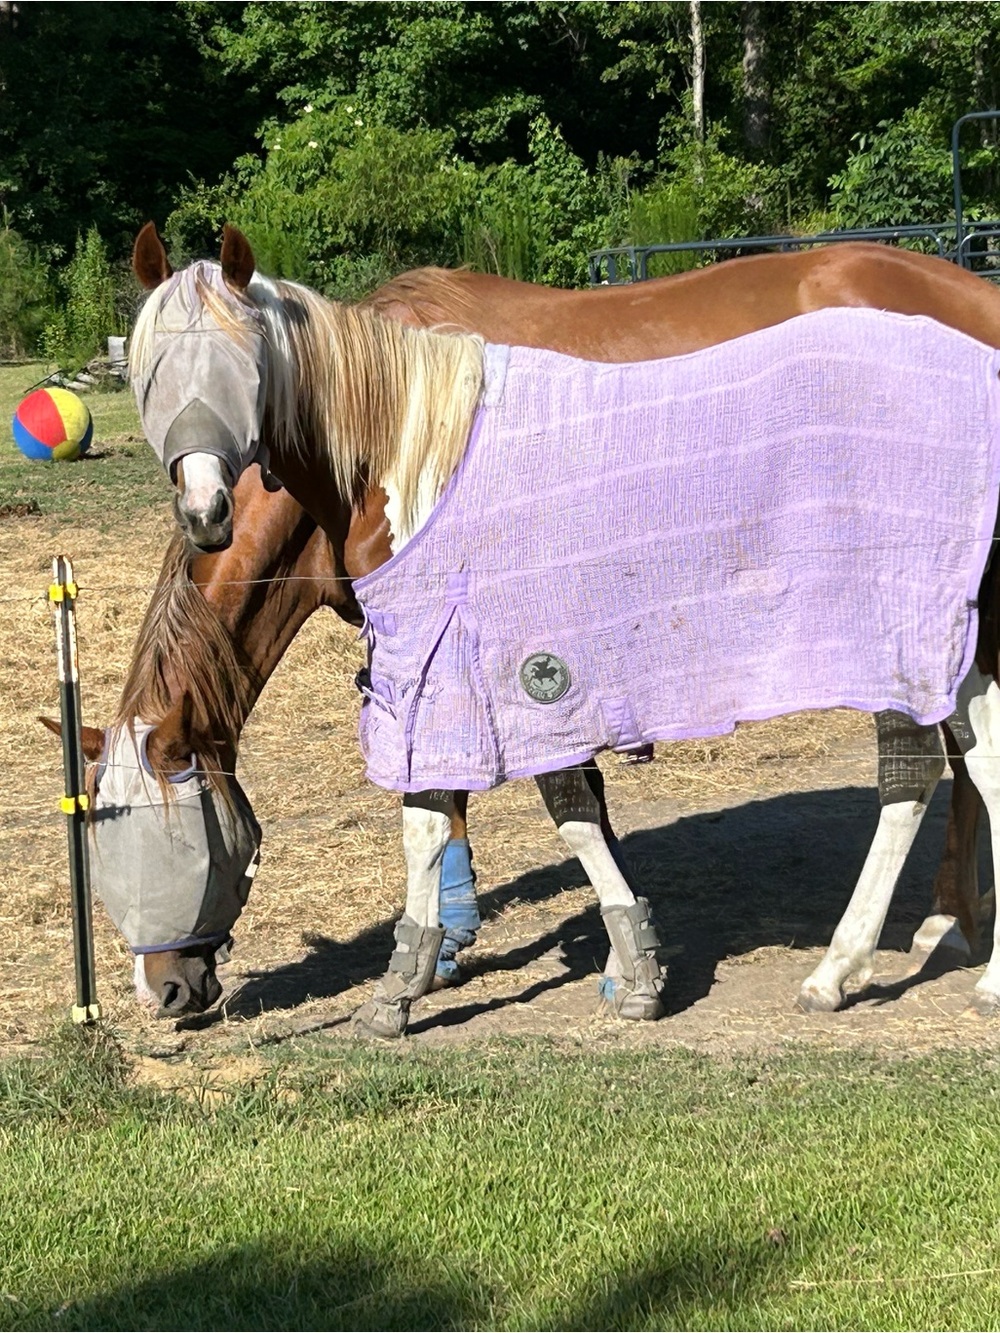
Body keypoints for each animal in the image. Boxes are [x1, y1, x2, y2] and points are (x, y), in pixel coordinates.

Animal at [116, 224, 1000, 1038]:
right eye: (147, 371)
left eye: (168, 844)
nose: (165, 991)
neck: (398, 439)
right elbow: (494, 799)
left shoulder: (473, 645)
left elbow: (481, 803)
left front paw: (435, 969)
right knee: (974, 754)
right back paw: (958, 943)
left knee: (921, 768)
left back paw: (879, 953)